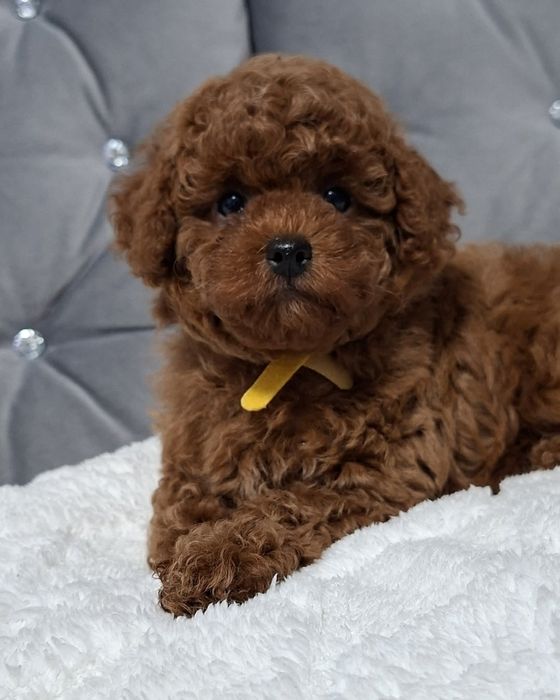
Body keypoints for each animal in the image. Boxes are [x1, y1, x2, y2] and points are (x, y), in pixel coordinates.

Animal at [111, 54, 560, 617]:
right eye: (231, 201)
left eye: (337, 197)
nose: (287, 249)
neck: (287, 363)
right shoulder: (196, 440)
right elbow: (179, 501)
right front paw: (182, 549)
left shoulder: (386, 466)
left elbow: (288, 503)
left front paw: (218, 556)